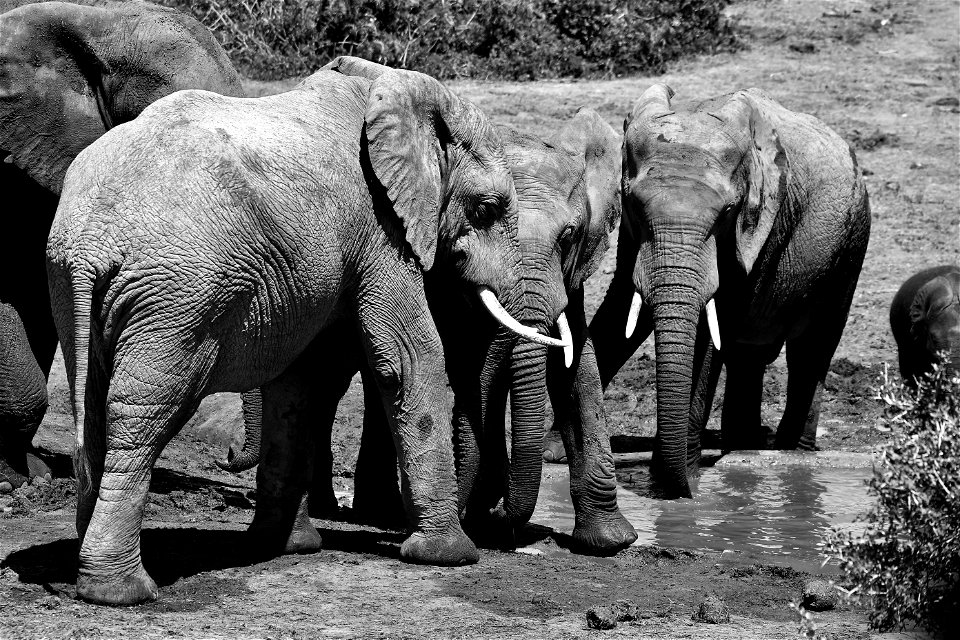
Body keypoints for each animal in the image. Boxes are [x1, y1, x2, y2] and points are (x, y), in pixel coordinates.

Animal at [47, 60, 564, 604]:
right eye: (487, 208)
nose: (498, 526)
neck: (389, 86)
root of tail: (89, 247)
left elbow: (297, 384)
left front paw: (288, 547)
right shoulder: (379, 226)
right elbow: (406, 359)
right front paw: (451, 556)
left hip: (71, 283)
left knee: (95, 402)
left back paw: (87, 564)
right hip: (176, 296)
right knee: (144, 412)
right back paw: (120, 591)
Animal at [584, 82, 872, 498]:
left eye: (727, 212)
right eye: (633, 205)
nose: (683, 492)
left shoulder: (763, 225)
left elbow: (709, 334)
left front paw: (677, 483)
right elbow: (621, 305)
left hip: (851, 246)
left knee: (811, 351)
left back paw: (792, 455)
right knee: (748, 355)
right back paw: (744, 447)